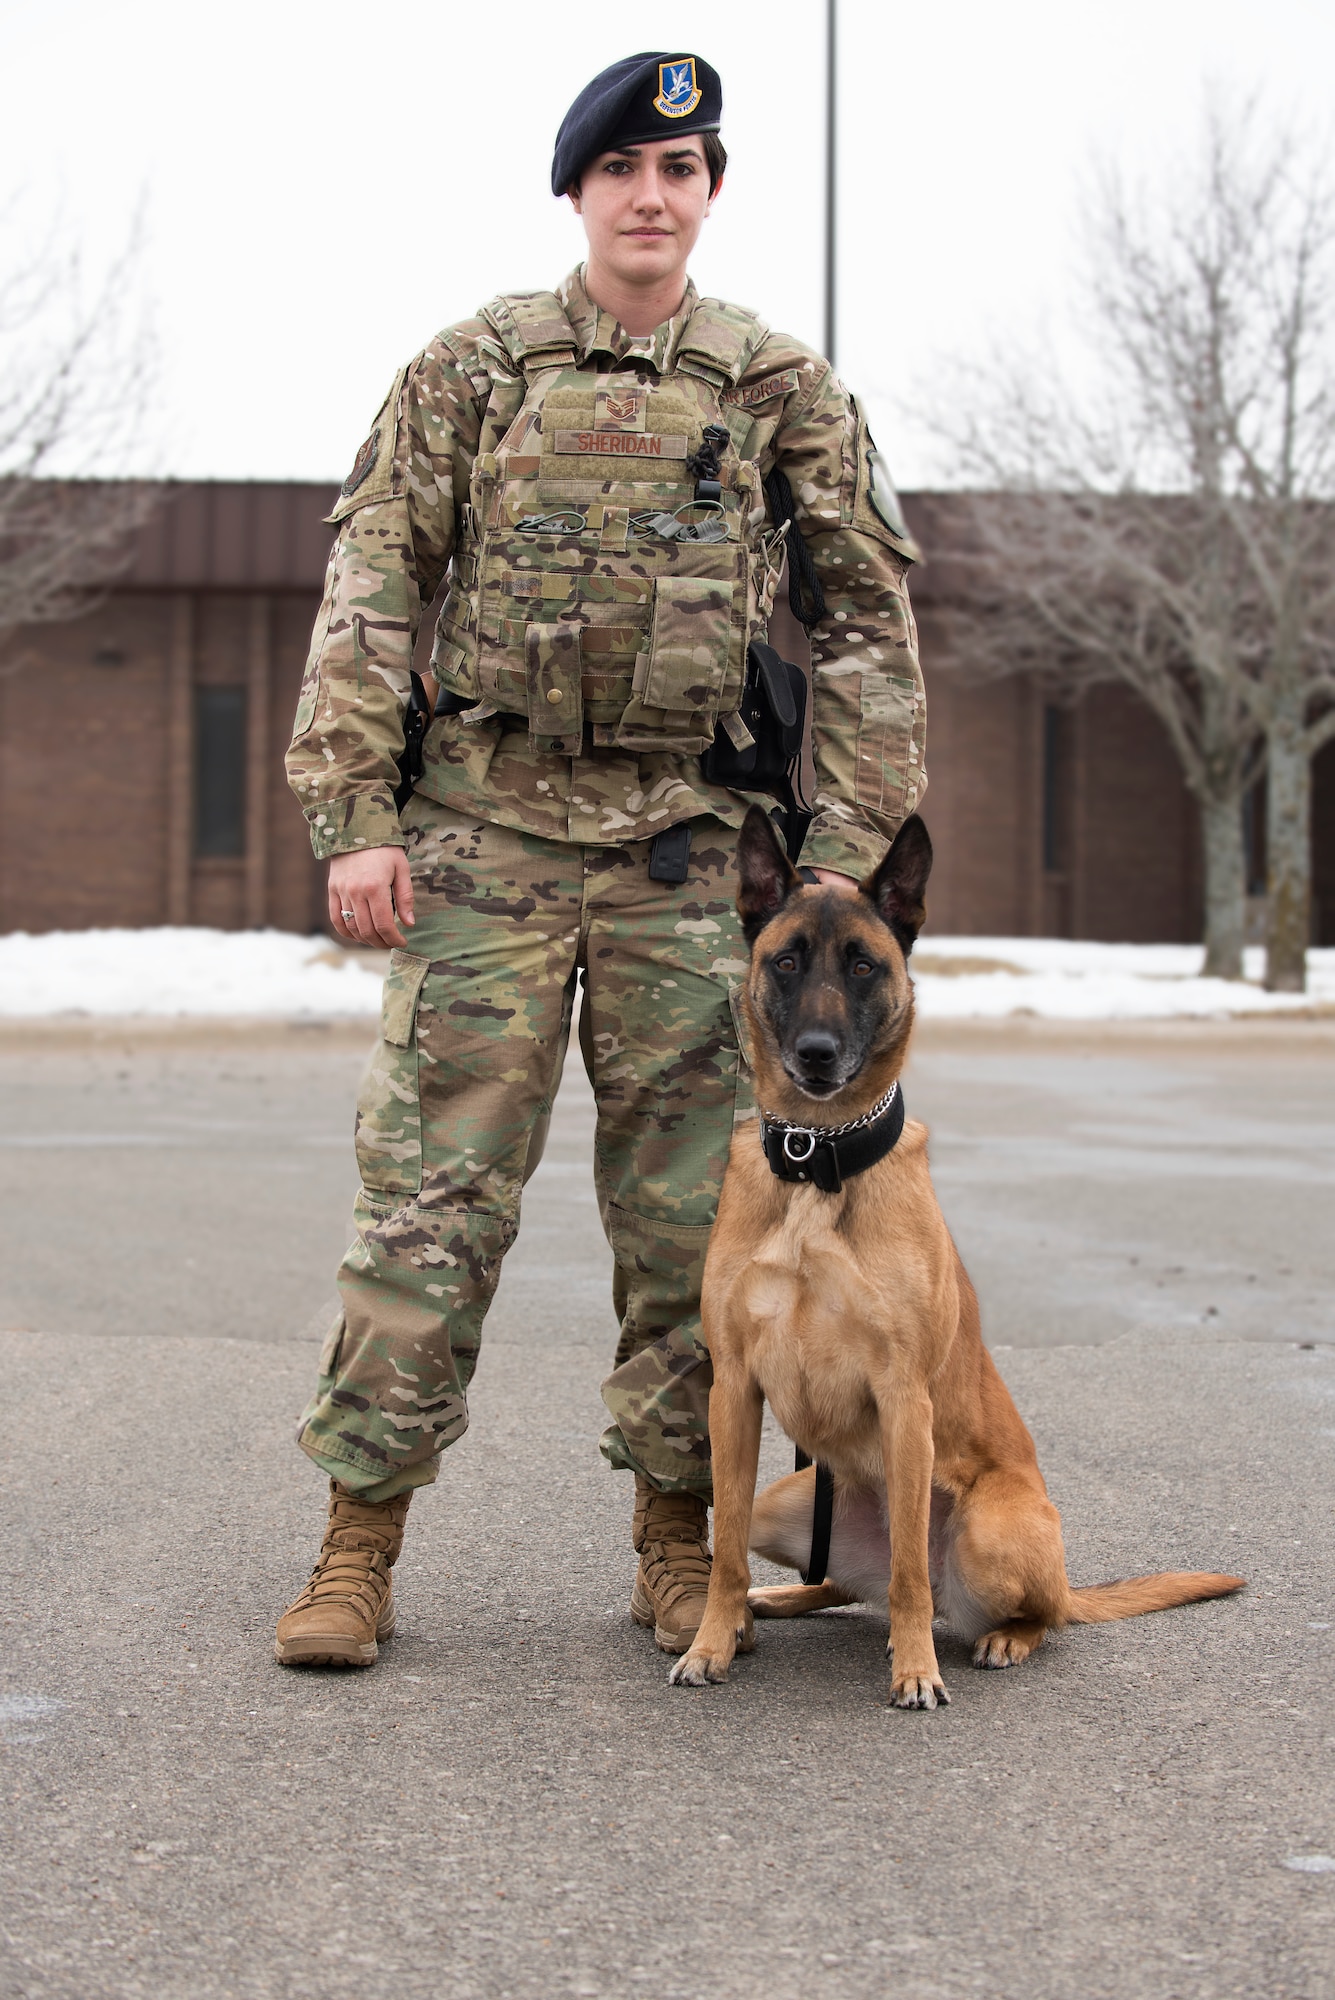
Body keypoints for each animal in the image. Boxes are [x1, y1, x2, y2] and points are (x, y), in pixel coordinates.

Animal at [671, 804, 1247, 1712]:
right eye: (786, 960)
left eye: (863, 964)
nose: (816, 1052)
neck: (816, 1157)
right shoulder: (734, 1392)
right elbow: (721, 1546)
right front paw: (711, 1643)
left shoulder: (905, 1401)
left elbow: (909, 1569)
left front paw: (914, 1672)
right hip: (786, 1501)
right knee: (834, 1582)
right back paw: (776, 1599)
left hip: (987, 1532)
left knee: (1008, 1604)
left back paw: (998, 1639)